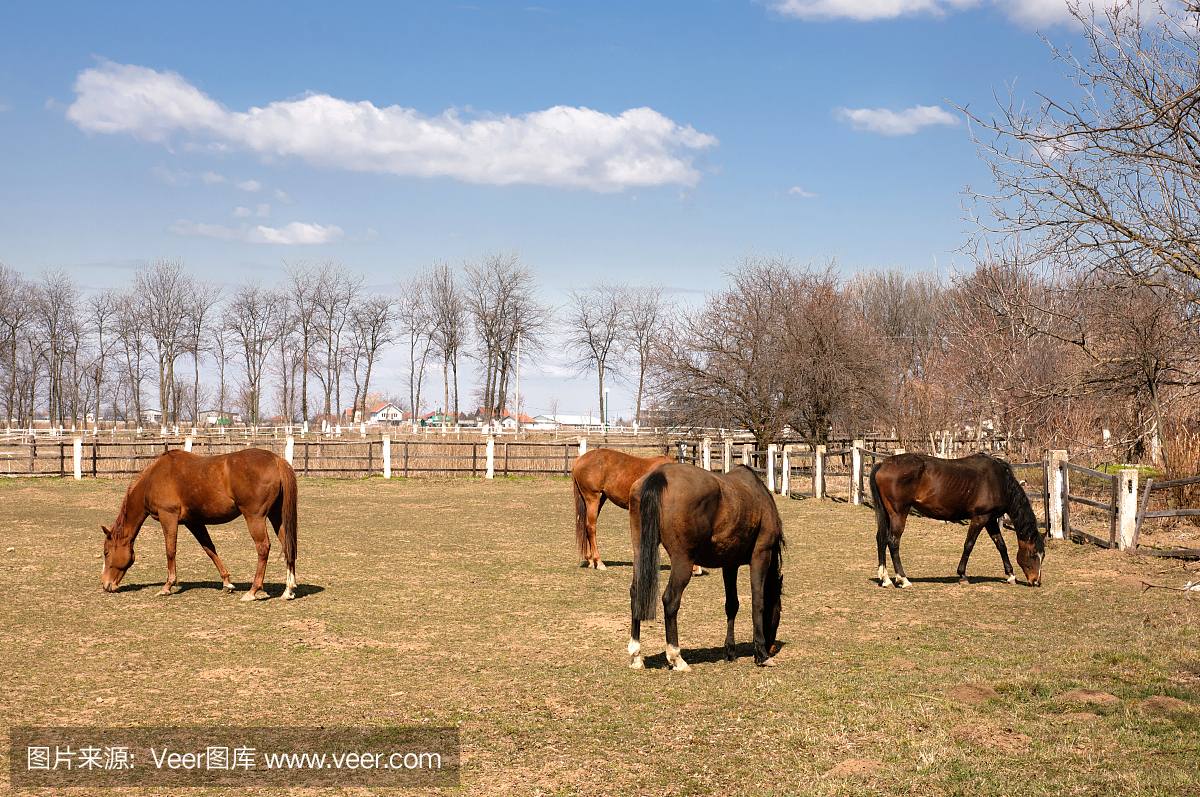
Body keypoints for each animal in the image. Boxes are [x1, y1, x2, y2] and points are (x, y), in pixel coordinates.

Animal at [103, 448, 300, 597]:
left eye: (106, 553)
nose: (106, 584)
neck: (153, 478)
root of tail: (275, 459)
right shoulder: (194, 522)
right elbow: (209, 549)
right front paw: (226, 582)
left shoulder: (168, 517)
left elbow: (170, 551)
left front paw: (167, 586)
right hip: (276, 516)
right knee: (287, 545)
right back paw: (288, 589)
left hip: (255, 517)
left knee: (263, 547)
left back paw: (253, 591)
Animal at [624, 463, 782, 667]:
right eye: (779, 612)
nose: (771, 648)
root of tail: (660, 474)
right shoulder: (761, 555)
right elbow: (758, 602)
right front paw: (761, 654)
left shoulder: (730, 565)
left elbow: (732, 604)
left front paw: (730, 651)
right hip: (683, 560)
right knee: (670, 599)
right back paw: (676, 657)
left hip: (640, 552)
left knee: (636, 594)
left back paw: (636, 655)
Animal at [868, 451, 1046, 588]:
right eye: (1032, 554)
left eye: (1042, 556)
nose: (1036, 581)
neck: (1000, 481)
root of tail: (883, 464)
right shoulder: (980, 518)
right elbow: (969, 545)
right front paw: (962, 575)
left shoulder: (990, 520)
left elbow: (1001, 545)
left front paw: (1010, 575)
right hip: (899, 513)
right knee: (893, 542)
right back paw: (903, 579)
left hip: (888, 514)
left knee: (881, 539)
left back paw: (885, 579)